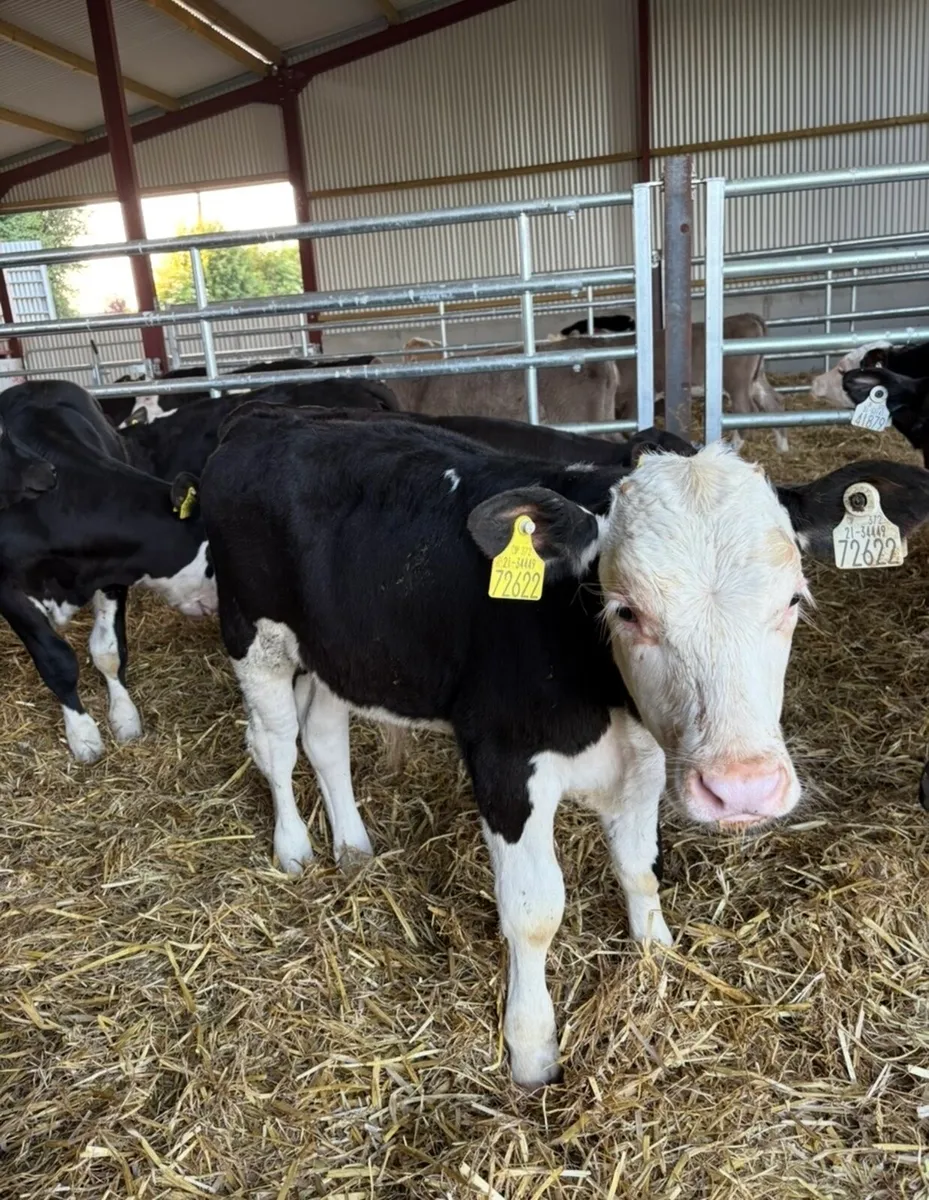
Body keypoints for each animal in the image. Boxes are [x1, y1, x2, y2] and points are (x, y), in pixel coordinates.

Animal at [0, 380, 216, 763]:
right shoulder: (8, 591)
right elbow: (56, 660)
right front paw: (83, 734)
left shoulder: (112, 570)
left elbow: (108, 650)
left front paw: (124, 717)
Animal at [199, 403, 929, 1088]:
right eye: (626, 609)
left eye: (792, 600)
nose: (742, 787)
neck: (603, 694)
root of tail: (269, 412)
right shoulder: (503, 761)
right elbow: (534, 911)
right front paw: (530, 1048)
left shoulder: (645, 758)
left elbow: (639, 867)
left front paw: (657, 957)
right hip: (252, 635)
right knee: (275, 744)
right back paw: (294, 849)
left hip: (343, 653)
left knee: (325, 738)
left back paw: (352, 847)